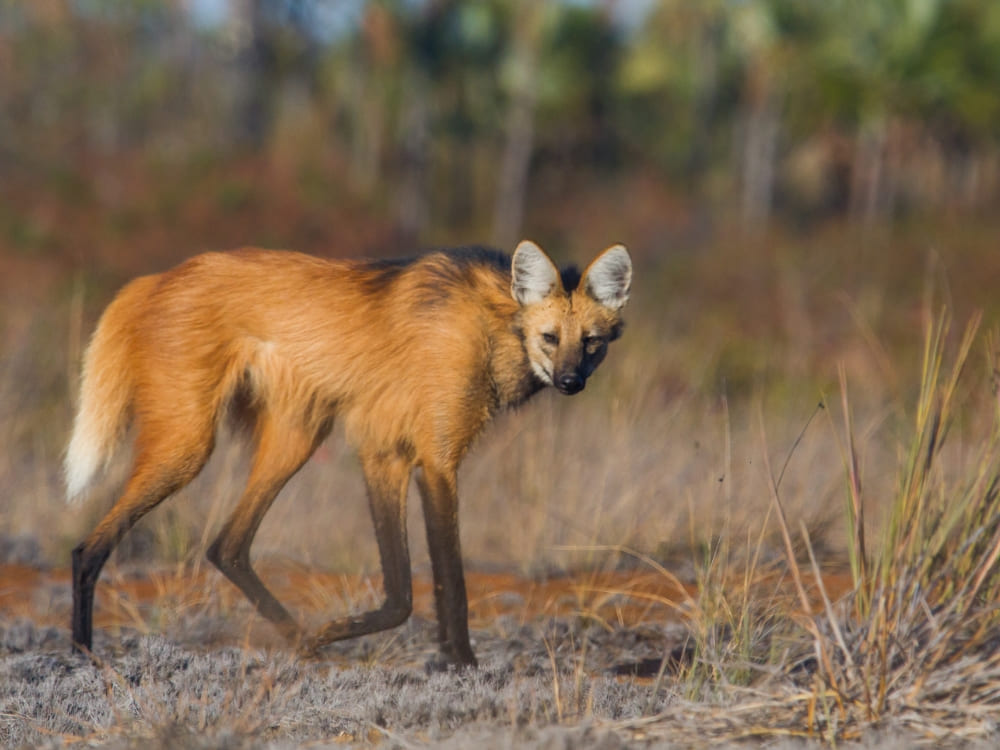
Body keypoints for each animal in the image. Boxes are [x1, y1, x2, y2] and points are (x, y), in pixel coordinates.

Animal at [66, 239, 632, 664]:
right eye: (550, 337)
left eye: (591, 342)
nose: (570, 382)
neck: (492, 330)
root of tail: (154, 278)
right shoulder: (434, 462)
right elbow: (445, 585)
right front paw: (464, 666)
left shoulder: (389, 455)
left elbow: (405, 592)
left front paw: (336, 637)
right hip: (188, 446)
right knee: (88, 549)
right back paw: (82, 657)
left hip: (296, 437)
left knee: (227, 546)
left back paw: (298, 641)